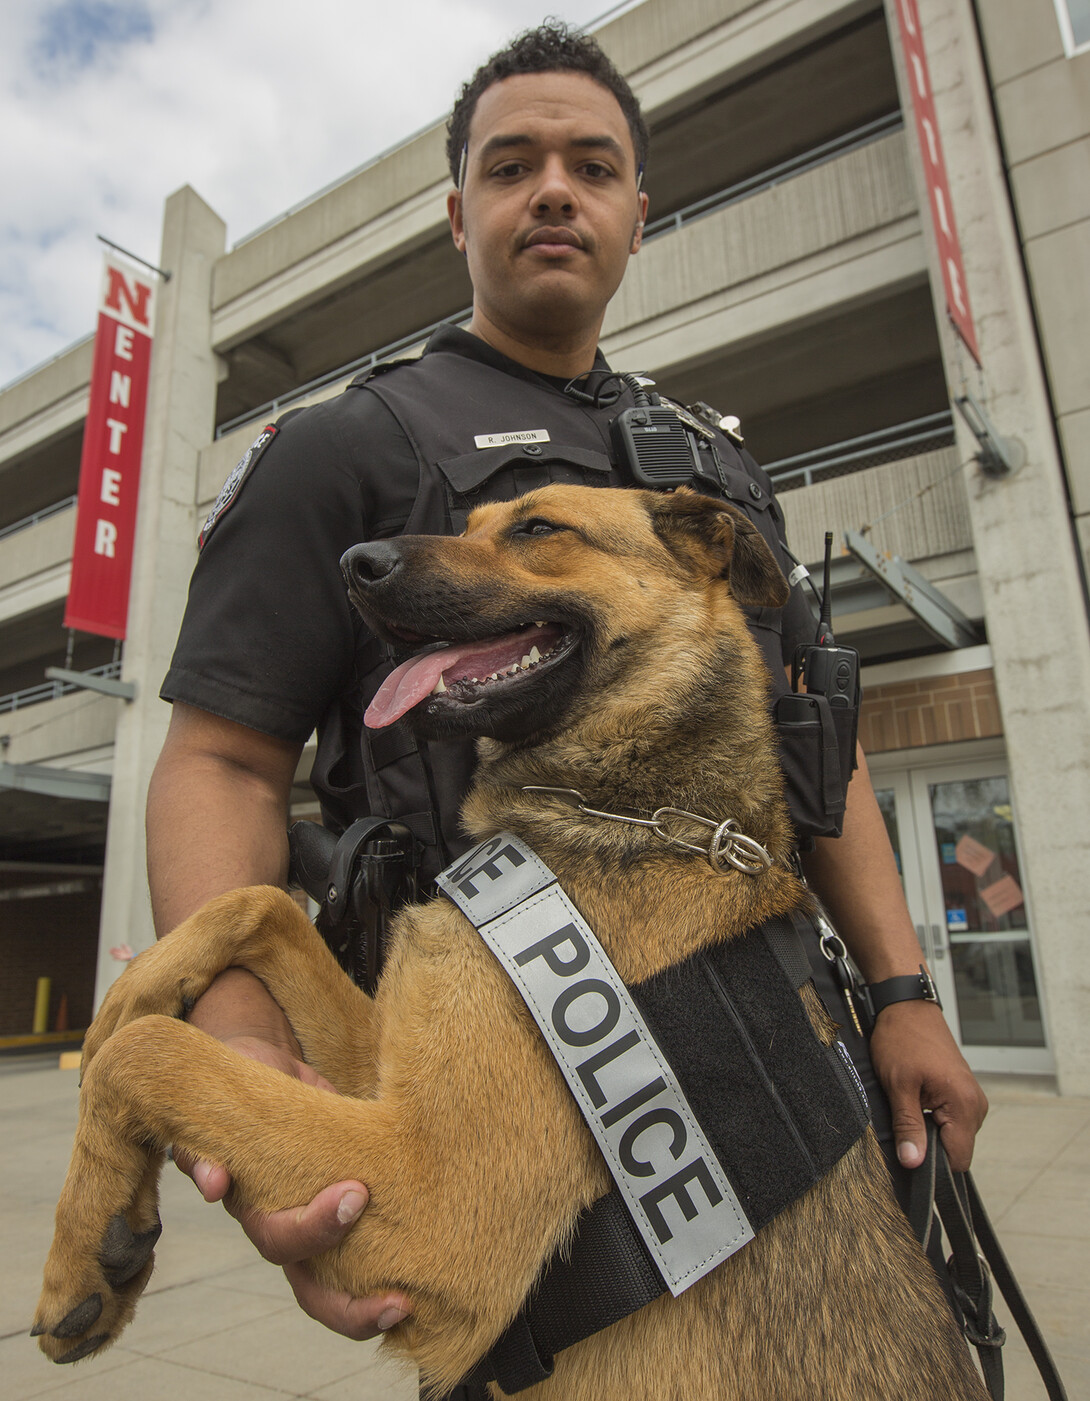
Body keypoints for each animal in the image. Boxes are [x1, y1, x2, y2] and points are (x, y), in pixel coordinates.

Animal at [33, 484, 986, 1401]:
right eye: (472, 524)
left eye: (536, 528)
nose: (353, 562)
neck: (637, 814)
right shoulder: (384, 1069)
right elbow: (258, 904)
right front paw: (125, 999)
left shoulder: (431, 1196)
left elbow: (154, 1055)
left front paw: (78, 1254)